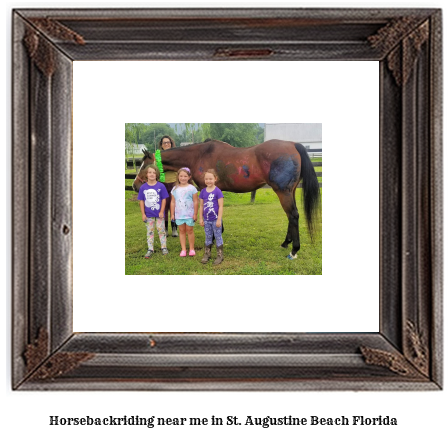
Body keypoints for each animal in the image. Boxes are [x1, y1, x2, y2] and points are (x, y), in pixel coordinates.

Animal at [131, 139, 320, 258]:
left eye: (145, 166)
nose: (134, 185)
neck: (198, 155)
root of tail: (293, 145)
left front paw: (214, 239)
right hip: (290, 191)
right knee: (291, 216)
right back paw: (286, 243)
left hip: (283, 192)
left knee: (293, 216)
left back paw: (294, 250)